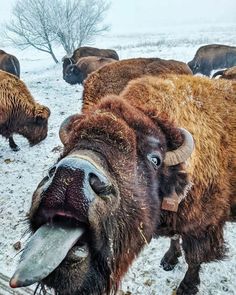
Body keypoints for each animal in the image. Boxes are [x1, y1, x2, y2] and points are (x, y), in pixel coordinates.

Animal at [10, 74, 235, 295]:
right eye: (70, 145)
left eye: (155, 159)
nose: (71, 175)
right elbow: (174, 239)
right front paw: (169, 260)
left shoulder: (202, 228)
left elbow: (194, 259)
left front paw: (186, 287)